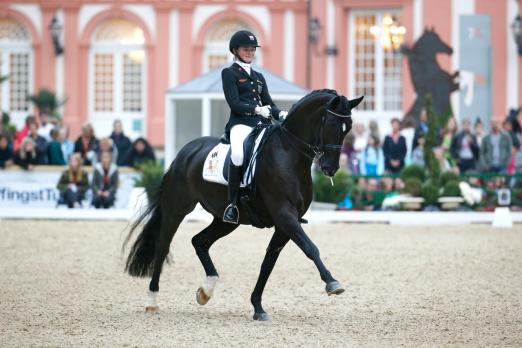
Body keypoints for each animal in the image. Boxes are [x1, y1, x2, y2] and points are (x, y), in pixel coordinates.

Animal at [124, 89, 362, 320]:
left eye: (348, 128)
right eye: (331, 124)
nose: (330, 168)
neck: (289, 153)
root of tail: (183, 154)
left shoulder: (284, 224)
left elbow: (269, 261)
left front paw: (258, 307)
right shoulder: (285, 216)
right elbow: (311, 248)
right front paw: (332, 283)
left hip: (226, 220)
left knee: (200, 241)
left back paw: (206, 290)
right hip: (176, 209)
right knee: (163, 246)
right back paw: (152, 300)